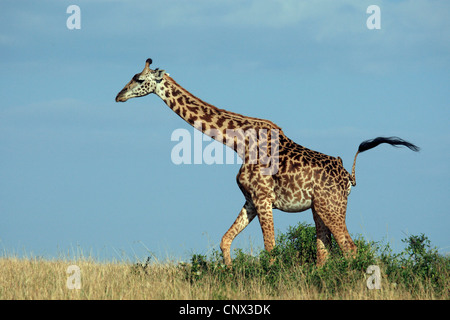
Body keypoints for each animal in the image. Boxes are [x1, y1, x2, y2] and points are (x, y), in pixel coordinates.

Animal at [115, 58, 418, 266]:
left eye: (139, 78)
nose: (119, 95)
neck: (239, 143)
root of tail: (349, 178)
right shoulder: (250, 199)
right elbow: (225, 240)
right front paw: (229, 273)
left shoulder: (263, 198)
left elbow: (270, 250)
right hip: (319, 208)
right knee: (324, 252)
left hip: (332, 206)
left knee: (349, 248)